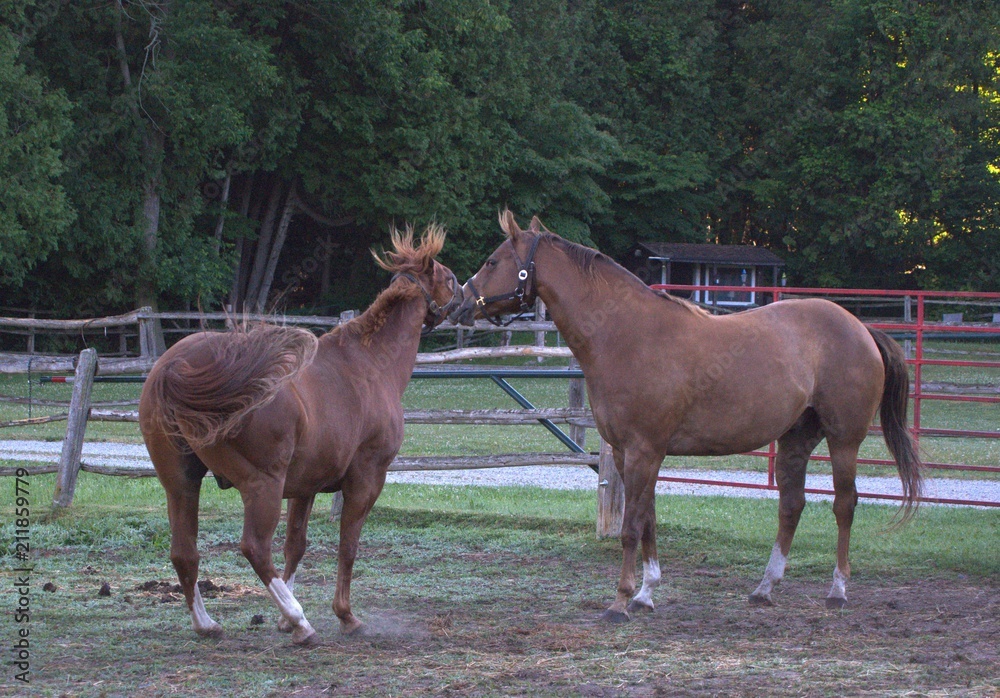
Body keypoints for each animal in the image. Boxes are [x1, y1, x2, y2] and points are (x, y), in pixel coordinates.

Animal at [139, 226, 462, 644]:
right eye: (450, 278)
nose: (468, 297)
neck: (371, 363)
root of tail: (176, 368)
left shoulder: (304, 487)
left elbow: (296, 546)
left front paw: (282, 618)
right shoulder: (366, 480)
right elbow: (348, 546)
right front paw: (344, 615)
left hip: (181, 484)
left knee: (184, 552)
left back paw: (208, 623)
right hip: (262, 486)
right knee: (255, 548)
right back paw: (301, 622)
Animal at [450, 210, 922, 622]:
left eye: (493, 261)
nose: (459, 301)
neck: (625, 334)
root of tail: (861, 328)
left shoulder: (643, 451)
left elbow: (630, 528)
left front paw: (620, 602)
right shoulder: (627, 453)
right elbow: (648, 521)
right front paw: (645, 594)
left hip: (844, 440)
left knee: (844, 505)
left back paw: (837, 590)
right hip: (795, 439)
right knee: (791, 505)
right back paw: (765, 588)